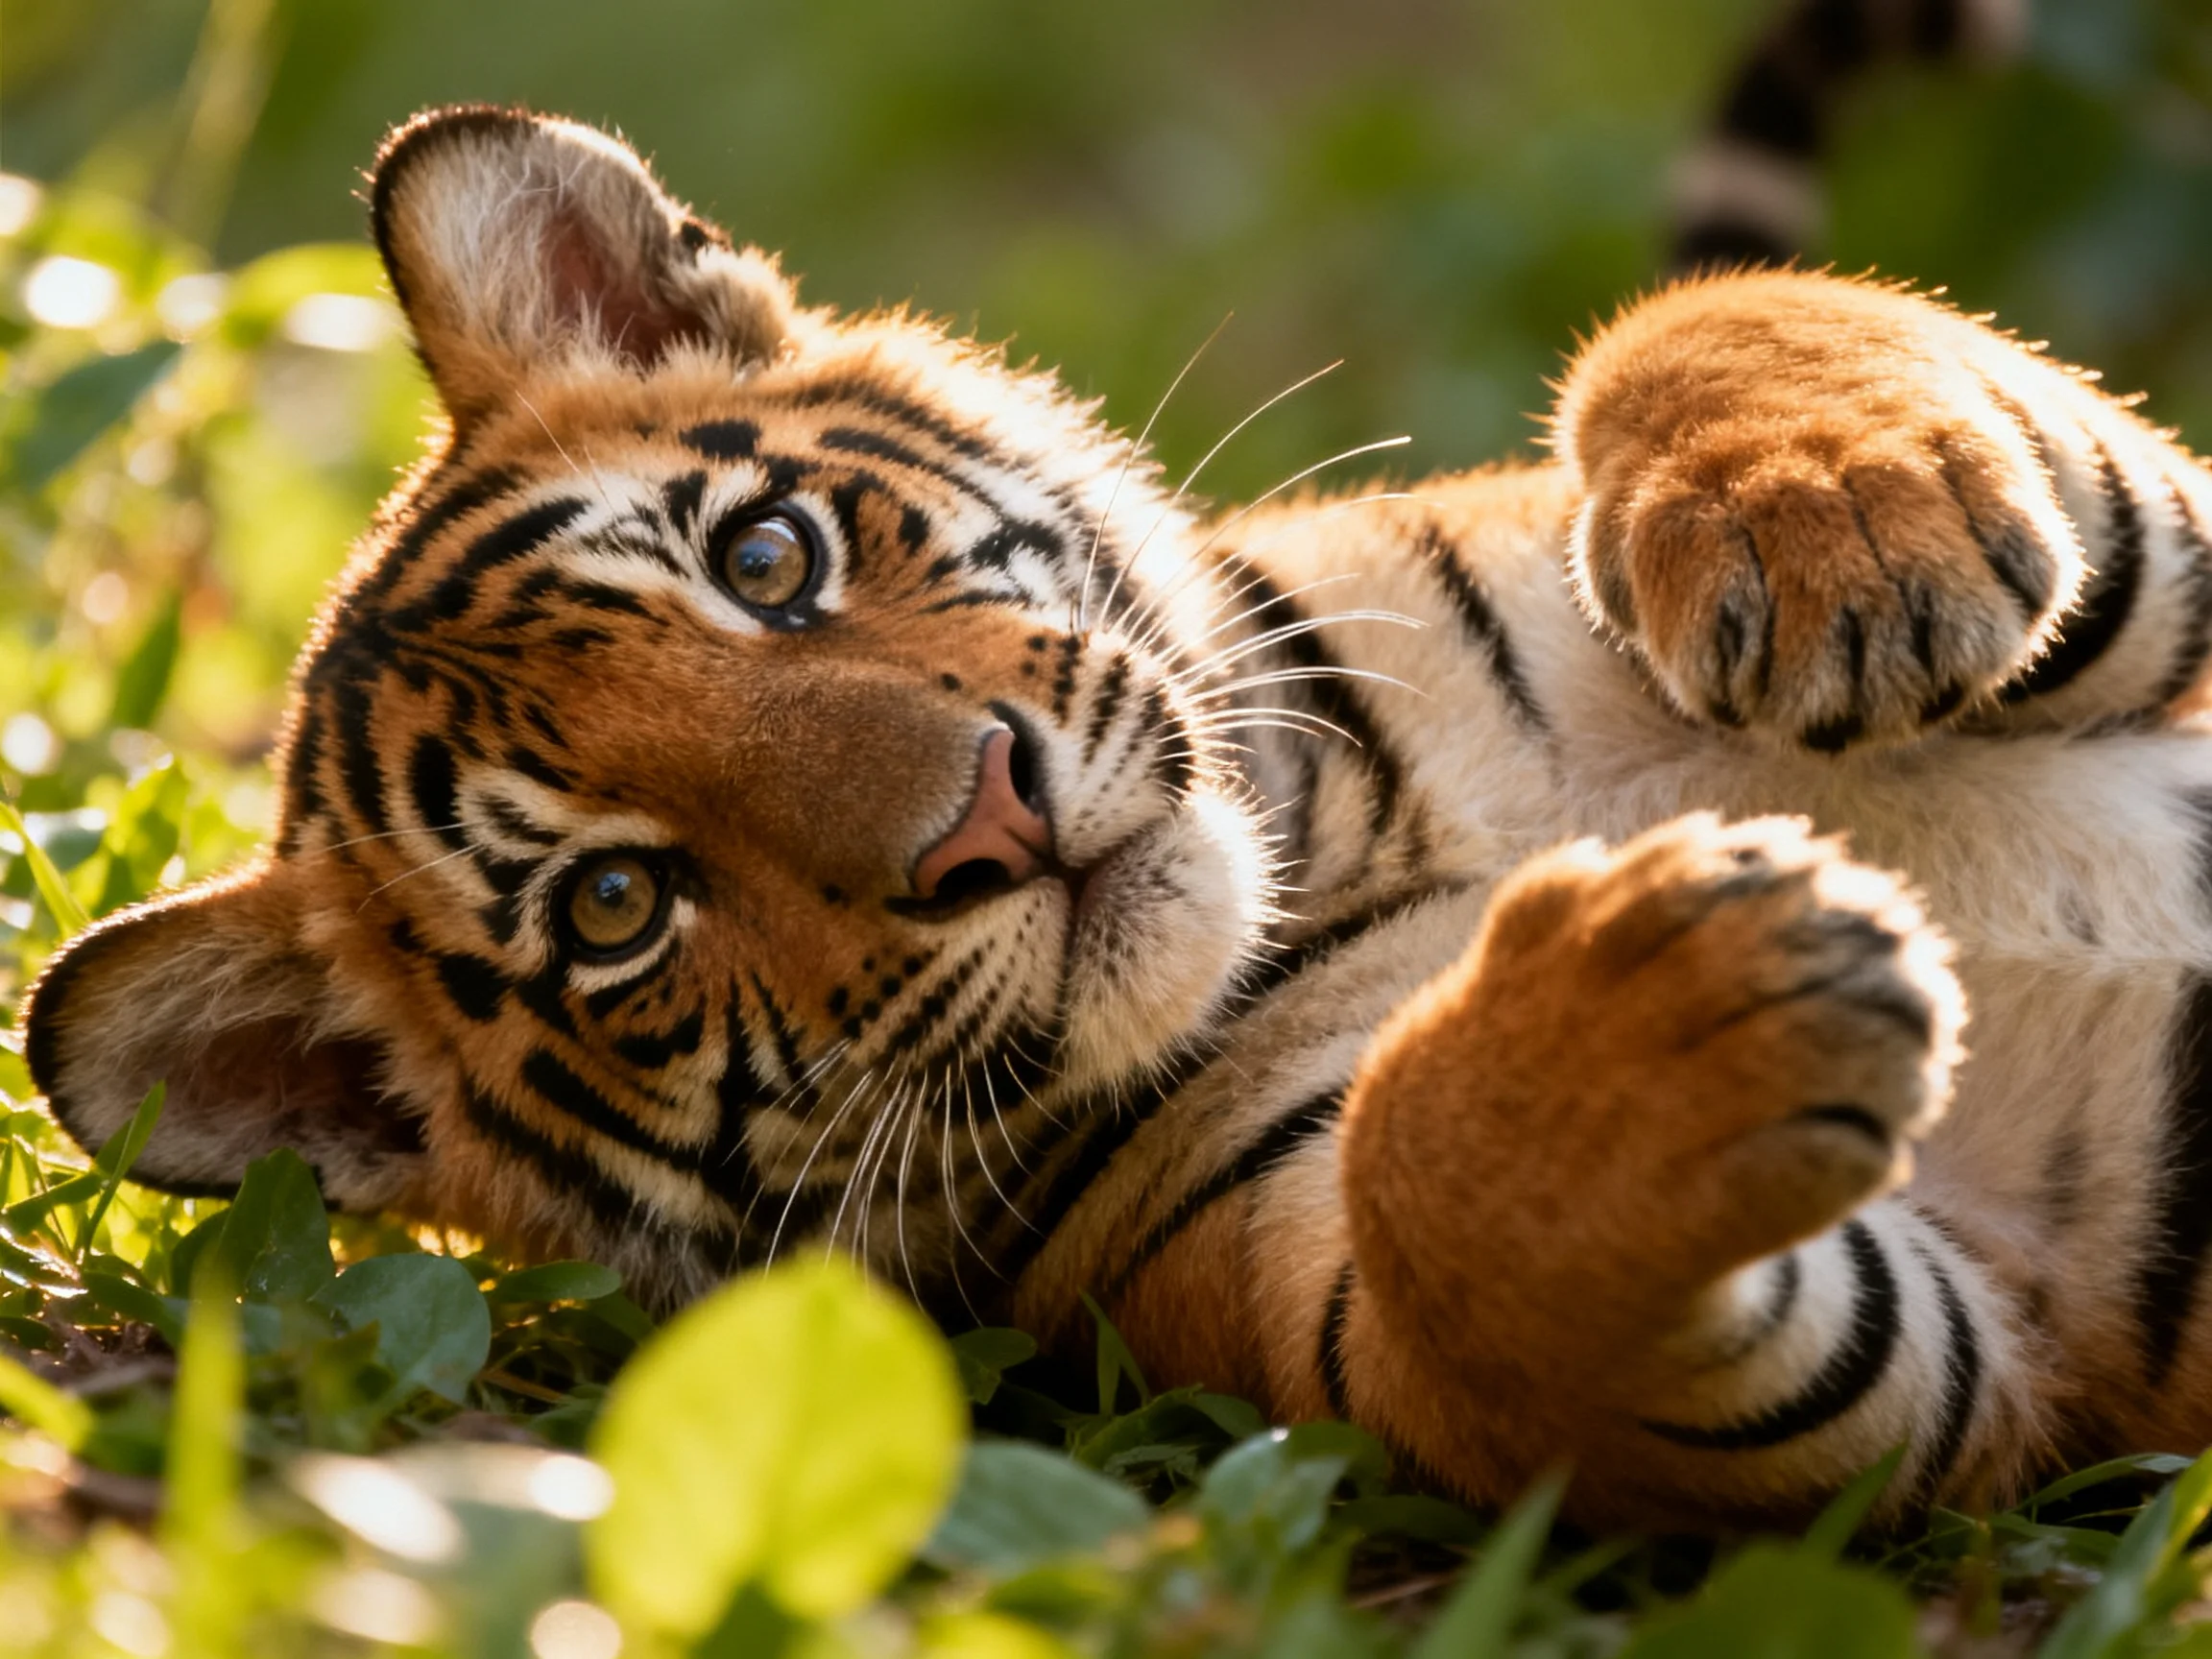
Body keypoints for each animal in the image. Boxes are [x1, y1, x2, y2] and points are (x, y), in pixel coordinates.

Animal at [26, 44, 2212, 1530]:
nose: (982, 819)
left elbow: (1698, 319)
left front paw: (1844, 511)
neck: (1355, 843)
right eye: (616, 908)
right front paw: (1675, 986)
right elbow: (1447, 1211)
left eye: (766, 560)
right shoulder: (1664, 1372)